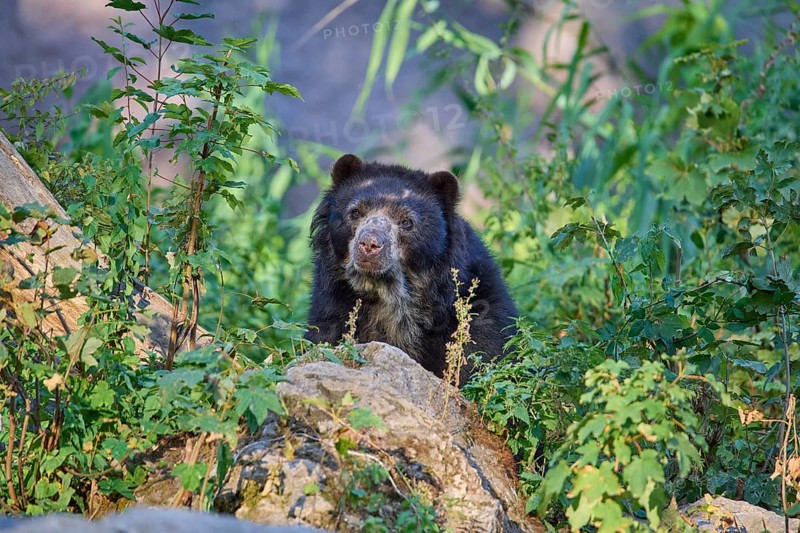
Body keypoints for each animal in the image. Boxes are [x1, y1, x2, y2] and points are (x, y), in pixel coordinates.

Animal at [305, 154, 518, 383]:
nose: (369, 244)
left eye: (406, 222)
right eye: (355, 212)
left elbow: (485, 353)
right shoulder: (332, 306)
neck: (389, 294)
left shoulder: (479, 312)